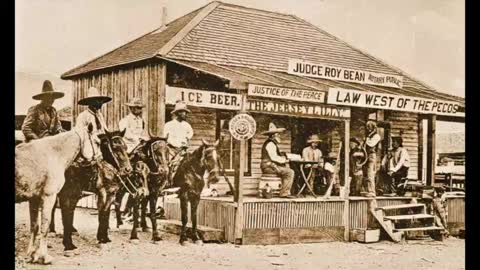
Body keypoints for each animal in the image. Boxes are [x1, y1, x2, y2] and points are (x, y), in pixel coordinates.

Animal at [14, 126, 95, 264]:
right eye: (97, 142)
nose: (93, 162)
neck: (53, 155)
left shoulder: (34, 199)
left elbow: (34, 226)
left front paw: (31, 253)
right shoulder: (49, 197)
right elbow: (45, 227)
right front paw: (44, 257)